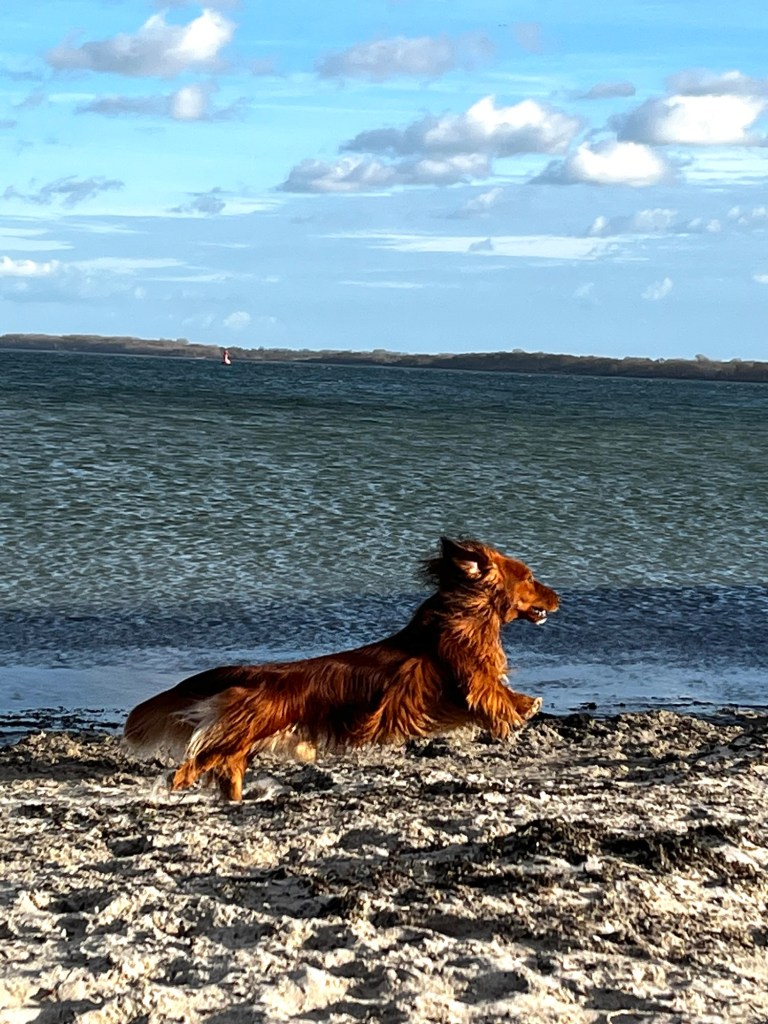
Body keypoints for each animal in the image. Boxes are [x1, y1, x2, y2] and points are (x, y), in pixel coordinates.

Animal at [124, 537, 559, 801]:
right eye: (530, 577)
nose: (559, 597)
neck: (465, 613)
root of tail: (247, 674)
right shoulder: (470, 680)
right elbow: (495, 694)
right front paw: (524, 708)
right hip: (243, 729)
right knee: (195, 763)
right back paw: (175, 787)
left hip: (242, 739)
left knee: (224, 767)